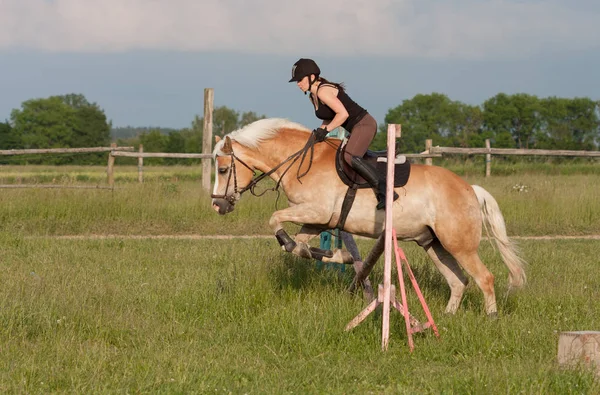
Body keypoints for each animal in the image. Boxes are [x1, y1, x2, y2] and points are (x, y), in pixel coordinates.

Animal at [210, 117, 524, 318]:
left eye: (223, 170)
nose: (217, 206)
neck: (301, 161)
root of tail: (470, 188)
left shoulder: (317, 211)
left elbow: (275, 220)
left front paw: (335, 255)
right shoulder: (316, 221)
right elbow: (300, 246)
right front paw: (339, 256)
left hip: (459, 244)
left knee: (484, 278)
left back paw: (491, 319)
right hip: (434, 244)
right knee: (458, 281)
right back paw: (446, 319)